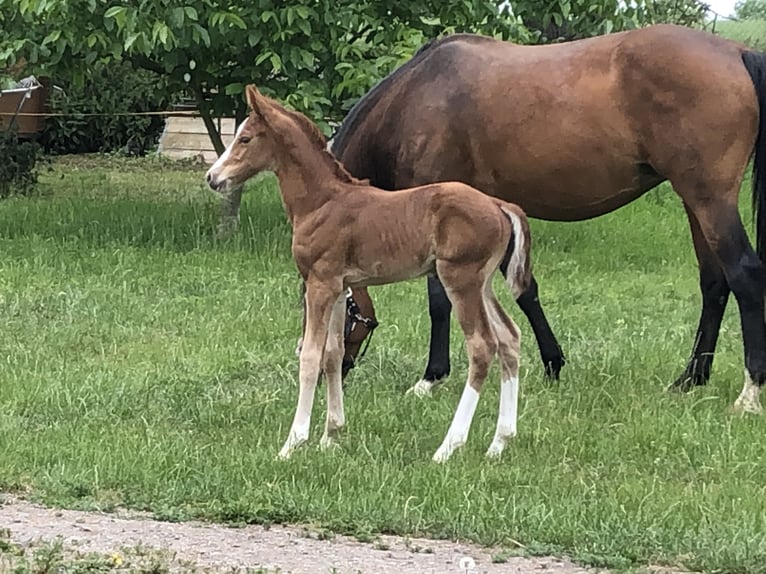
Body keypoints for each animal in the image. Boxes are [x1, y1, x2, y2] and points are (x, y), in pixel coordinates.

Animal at [204, 84, 536, 464]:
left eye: (245, 138)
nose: (212, 178)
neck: (320, 201)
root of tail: (499, 205)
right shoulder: (338, 287)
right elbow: (333, 354)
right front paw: (331, 436)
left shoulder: (320, 283)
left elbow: (310, 356)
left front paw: (293, 442)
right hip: (483, 283)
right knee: (509, 338)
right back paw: (499, 442)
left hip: (460, 279)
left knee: (482, 346)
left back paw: (448, 446)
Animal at [225, 24, 766, 412]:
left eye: (329, 306)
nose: (328, 367)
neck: (412, 98)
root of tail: (737, 52)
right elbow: (525, 290)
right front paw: (552, 363)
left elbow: (439, 300)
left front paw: (431, 377)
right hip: (694, 200)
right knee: (714, 283)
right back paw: (690, 379)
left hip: (709, 197)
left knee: (744, 275)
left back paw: (749, 392)